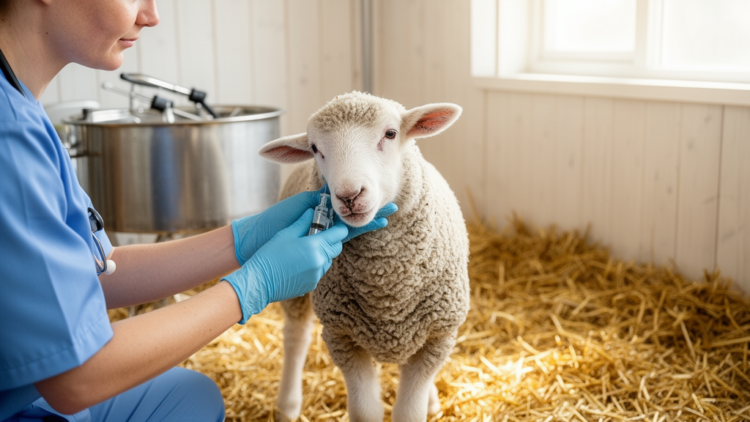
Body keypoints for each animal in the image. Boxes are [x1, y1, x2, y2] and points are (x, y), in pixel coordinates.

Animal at [258, 91, 470, 422]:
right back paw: (288, 405)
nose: (349, 195)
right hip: (297, 294)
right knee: (296, 337)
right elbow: (365, 412)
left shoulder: (437, 338)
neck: (386, 287)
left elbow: (409, 412)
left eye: (391, 133)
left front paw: (425, 402)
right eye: (315, 148)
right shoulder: (341, 336)